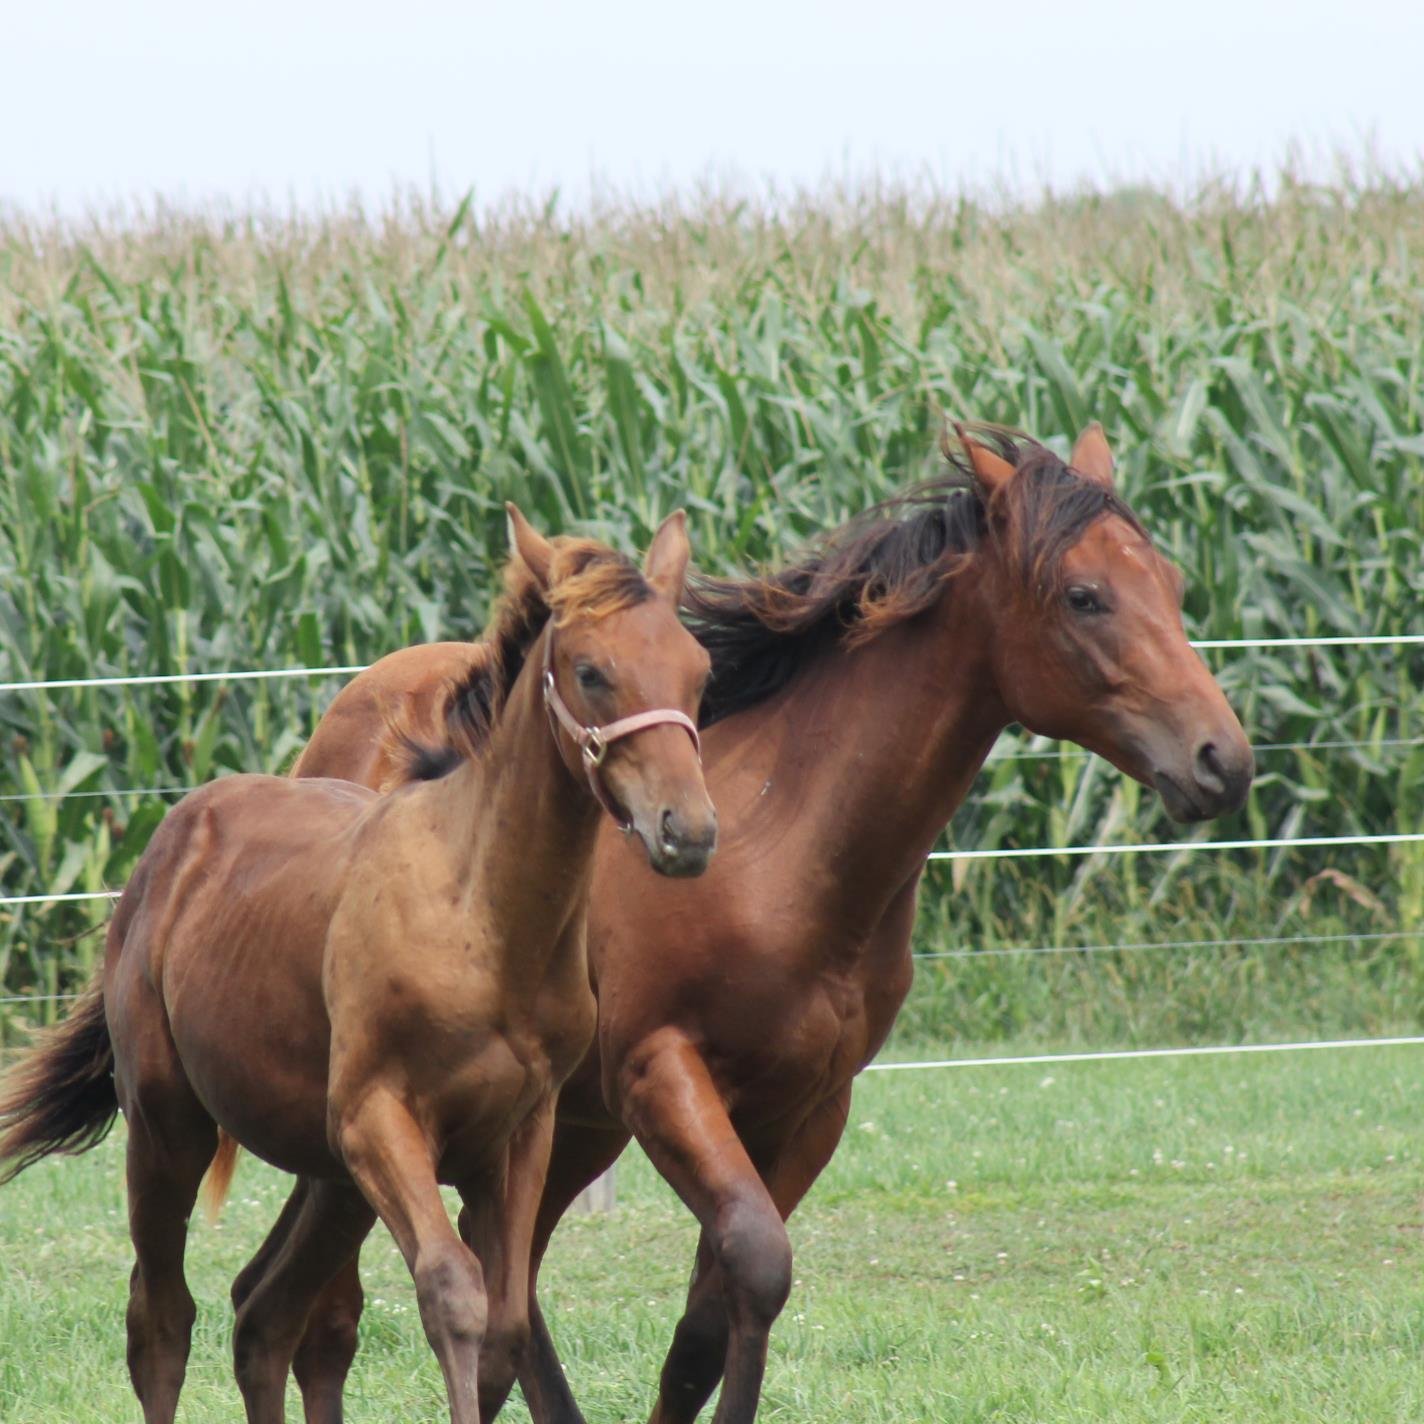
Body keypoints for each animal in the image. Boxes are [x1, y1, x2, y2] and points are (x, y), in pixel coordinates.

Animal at [0, 509, 712, 1424]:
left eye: (698, 671)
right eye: (592, 672)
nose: (687, 831)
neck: (482, 920)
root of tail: (169, 842)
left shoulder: (519, 1135)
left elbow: (507, 1326)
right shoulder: (380, 1121)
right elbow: (453, 1295)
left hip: (329, 1178)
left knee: (264, 1314)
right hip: (168, 1127)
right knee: (161, 1318)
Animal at [269, 424, 1258, 1424]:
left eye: (1173, 585)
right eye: (1084, 596)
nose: (1223, 759)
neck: (780, 848)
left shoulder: (810, 1108)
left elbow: (714, 1318)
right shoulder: (662, 1074)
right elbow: (755, 1260)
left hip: (560, 1129)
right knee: (338, 1313)